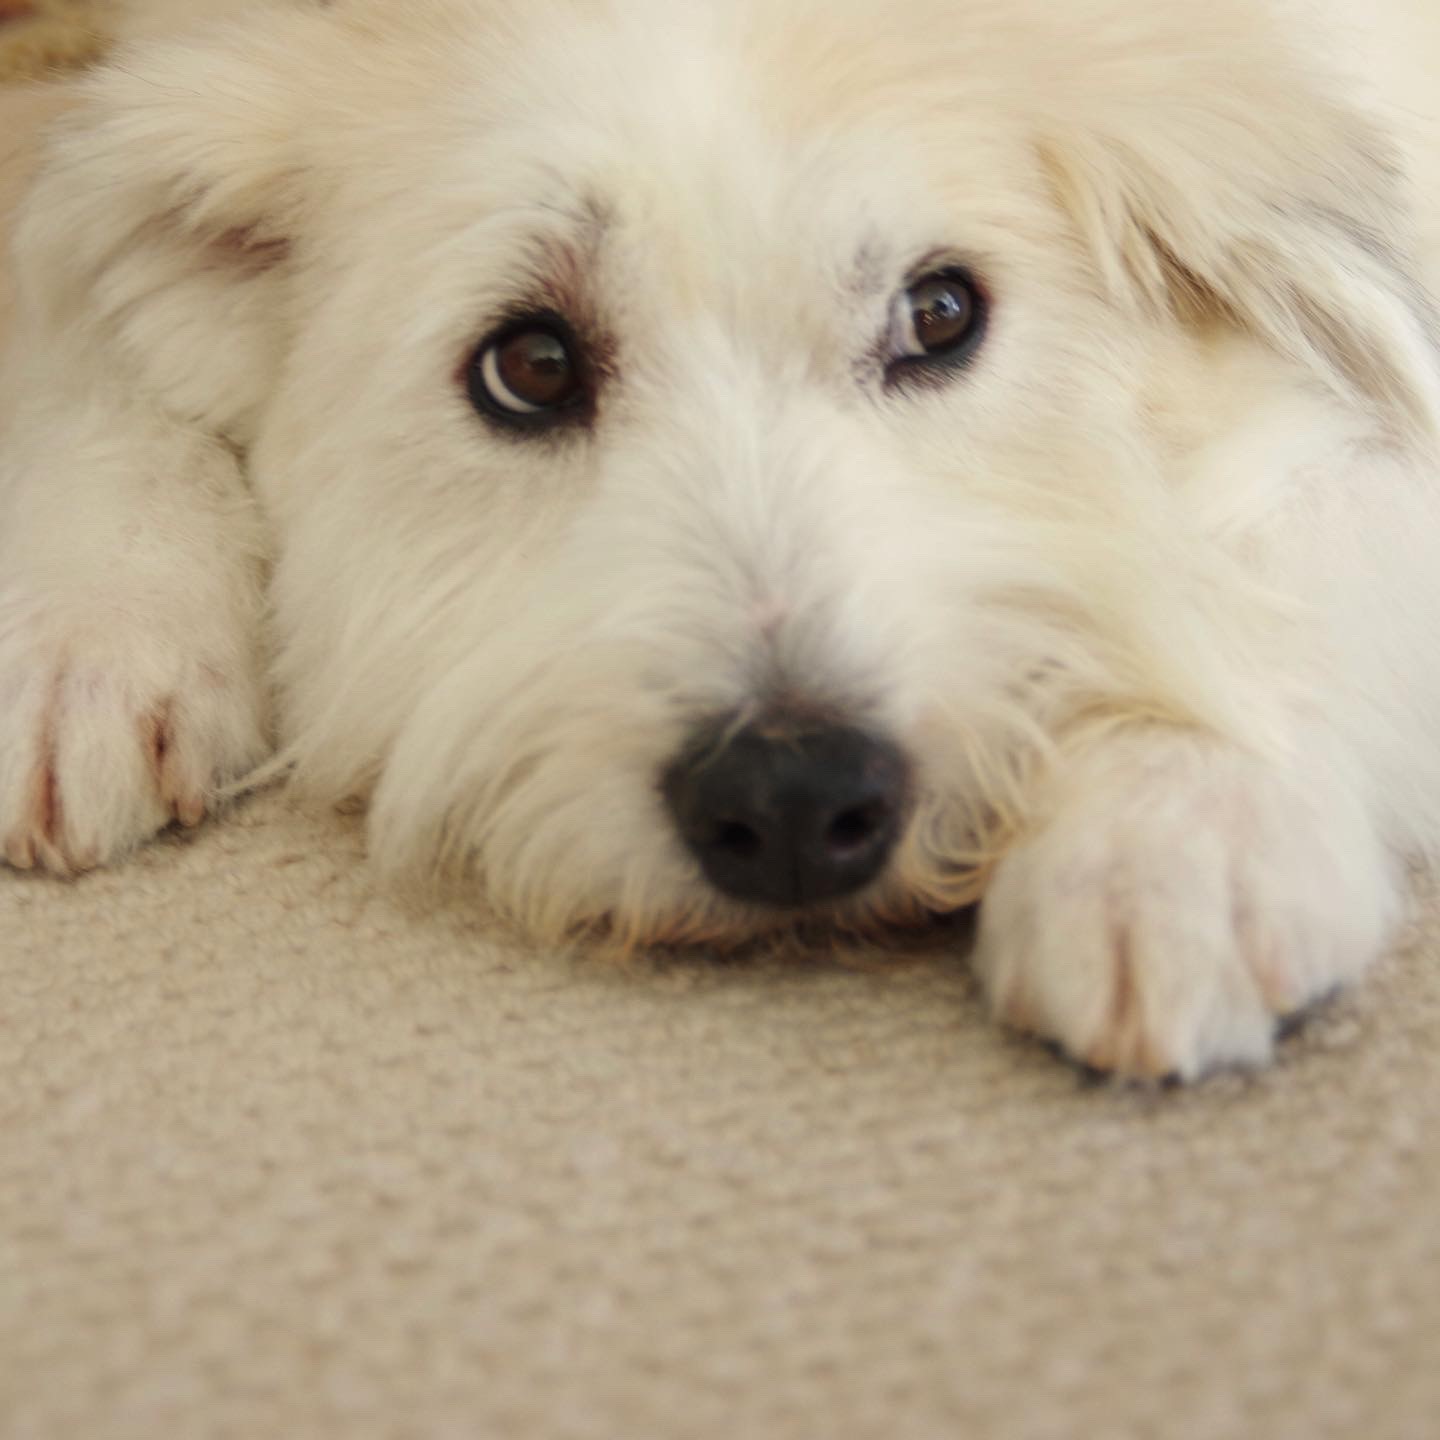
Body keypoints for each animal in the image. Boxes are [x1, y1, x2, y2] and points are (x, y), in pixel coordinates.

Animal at [2, 0, 1440, 1082]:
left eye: (939, 314)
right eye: (529, 366)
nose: (796, 799)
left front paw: (1172, 824)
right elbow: (71, 313)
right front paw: (93, 620)